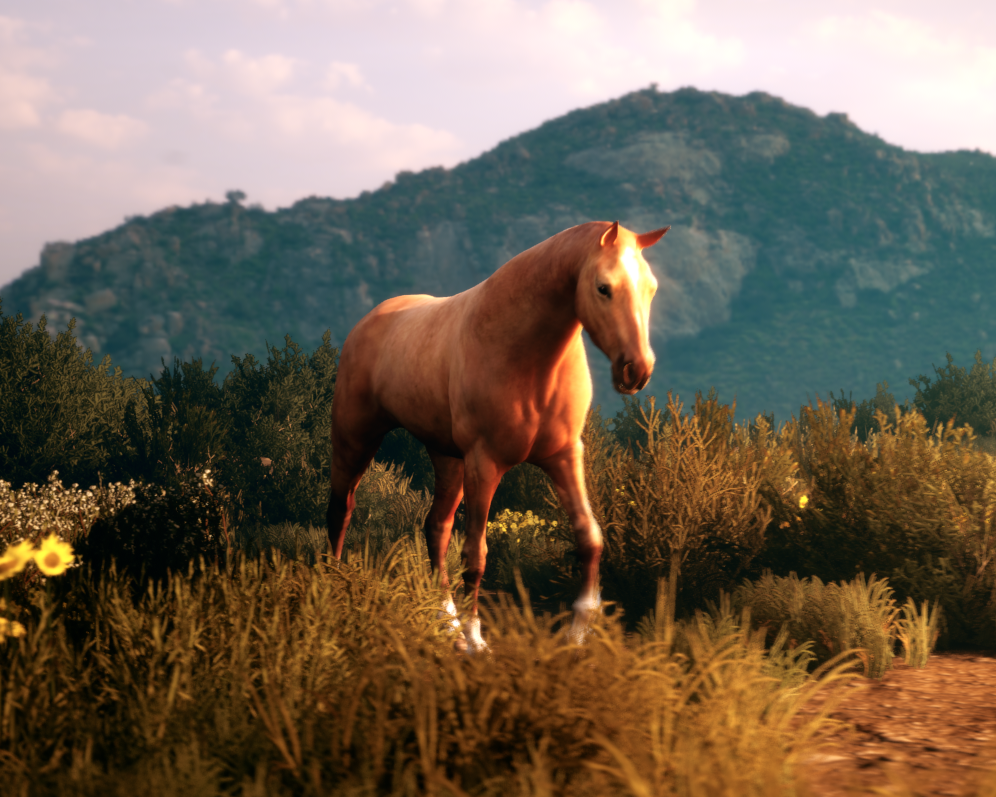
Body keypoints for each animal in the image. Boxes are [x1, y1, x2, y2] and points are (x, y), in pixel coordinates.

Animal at [327, 220, 669, 654]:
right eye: (603, 287)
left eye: (652, 287)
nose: (637, 370)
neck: (526, 354)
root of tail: (370, 319)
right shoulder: (485, 462)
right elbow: (476, 554)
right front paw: (477, 640)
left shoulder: (564, 456)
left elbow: (589, 538)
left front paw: (577, 635)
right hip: (356, 439)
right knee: (341, 511)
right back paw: (334, 593)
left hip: (447, 458)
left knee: (435, 528)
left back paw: (448, 625)